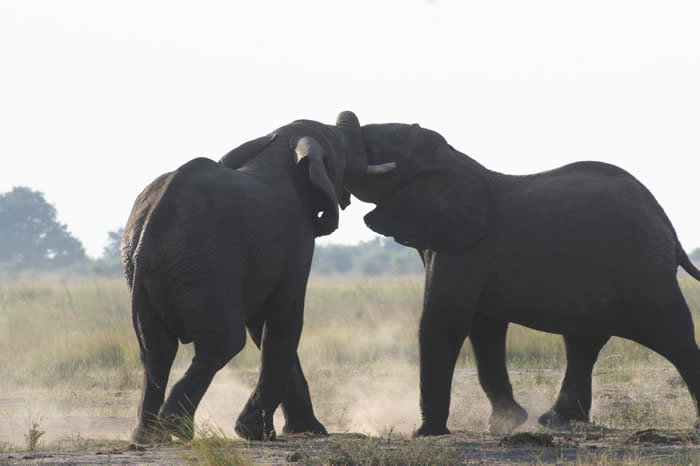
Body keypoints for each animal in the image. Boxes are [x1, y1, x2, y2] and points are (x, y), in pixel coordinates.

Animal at [121, 111, 394, 442]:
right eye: (339, 148)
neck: (280, 145)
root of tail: (151, 226)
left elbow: (262, 327)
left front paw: (303, 430)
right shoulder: (297, 237)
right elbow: (285, 319)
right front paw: (257, 433)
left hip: (144, 271)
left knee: (157, 349)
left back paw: (148, 437)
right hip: (207, 264)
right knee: (223, 343)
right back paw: (177, 429)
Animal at [345, 121, 700, 436]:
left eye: (379, 150)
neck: (451, 160)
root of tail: (667, 224)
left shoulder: (466, 249)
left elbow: (445, 321)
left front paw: (425, 433)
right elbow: (483, 327)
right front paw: (505, 423)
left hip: (643, 270)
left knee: (675, 338)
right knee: (583, 342)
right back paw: (555, 422)